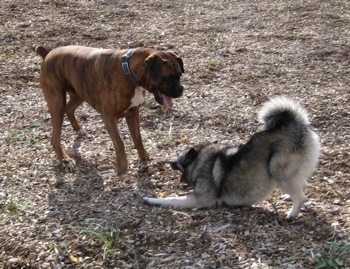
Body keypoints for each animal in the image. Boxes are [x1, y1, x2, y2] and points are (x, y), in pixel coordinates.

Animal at [34, 44, 186, 173]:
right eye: (168, 78)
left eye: (179, 75)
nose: (181, 89)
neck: (128, 71)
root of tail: (48, 53)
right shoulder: (109, 117)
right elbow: (119, 143)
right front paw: (122, 167)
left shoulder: (133, 113)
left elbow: (138, 138)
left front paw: (143, 159)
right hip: (57, 102)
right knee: (55, 138)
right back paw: (66, 160)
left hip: (79, 94)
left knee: (69, 109)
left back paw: (79, 130)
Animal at [144, 96, 322, 218]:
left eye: (179, 160)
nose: (170, 163)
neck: (200, 160)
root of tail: (295, 123)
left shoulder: (198, 199)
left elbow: (171, 199)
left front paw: (150, 199)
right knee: (301, 186)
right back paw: (287, 197)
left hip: (277, 168)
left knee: (301, 197)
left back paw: (291, 214)